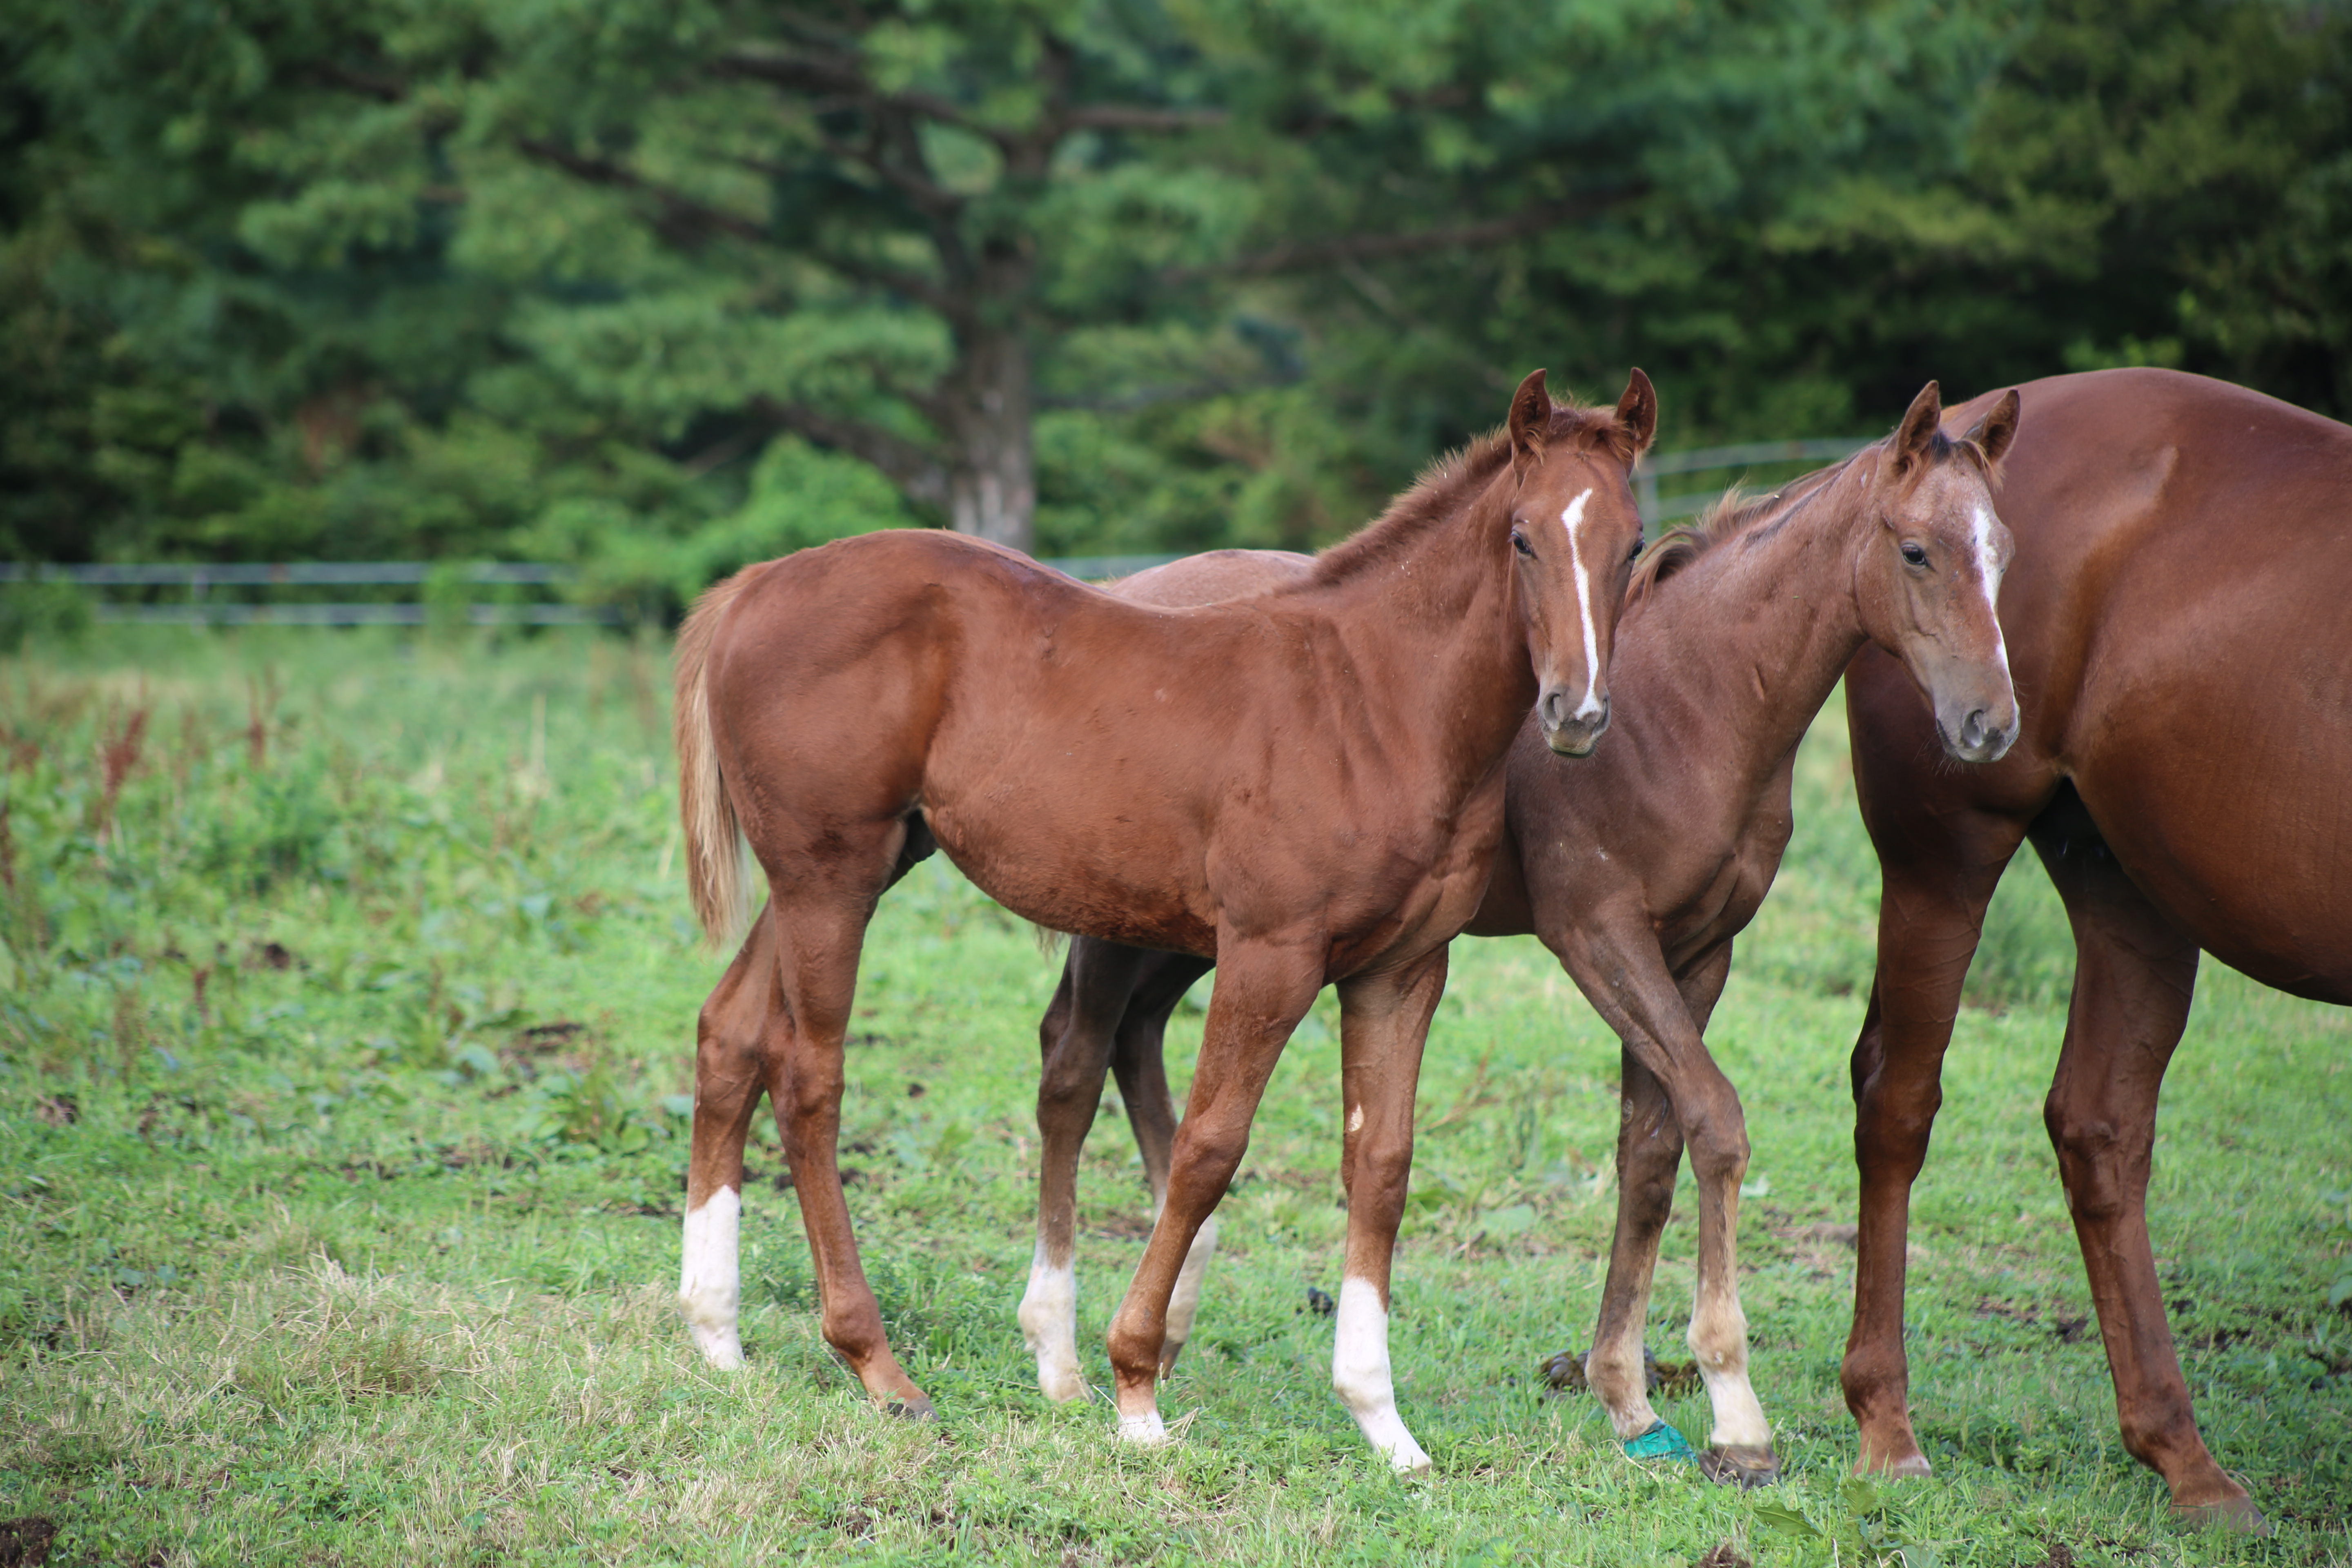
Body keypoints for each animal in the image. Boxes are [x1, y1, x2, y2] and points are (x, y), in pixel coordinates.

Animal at [663, 371, 1656, 1476]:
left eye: (1632, 543)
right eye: (1522, 537)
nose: (1576, 713)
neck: (1376, 704)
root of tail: (755, 584)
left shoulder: (1403, 970)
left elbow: (1381, 1167)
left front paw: (1382, 1423)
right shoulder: (1270, 954)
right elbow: (1208, 1147)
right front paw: (1135, 1388)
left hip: (848, 869)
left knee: (731, 1034)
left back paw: (716, 1332)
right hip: (828, 879)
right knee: (809, 1074)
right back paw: (875, 1364)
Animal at [1002, 383, 2013, 1486]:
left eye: (2001, 548)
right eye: (1915, 551)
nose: (1989, 725)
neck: (1690, 704)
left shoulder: (1699, 951)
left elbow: (1649, 1149)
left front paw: (1628, 1401)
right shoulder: (1597, 933)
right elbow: (1713, 1118)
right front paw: (1733, 1410)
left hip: (1188, 931)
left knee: (1132, 1046)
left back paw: (1167, 1320)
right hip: (1134, 918)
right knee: (1072, 1059)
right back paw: (1063, 1351)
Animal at [1834, 369, 2352, 1532]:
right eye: (1922, 556)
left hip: (2128, 888)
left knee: (2098, 1126)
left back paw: (2185, 1460)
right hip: (1945, 859)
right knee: (1898, 1101)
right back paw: (1887, 1425)